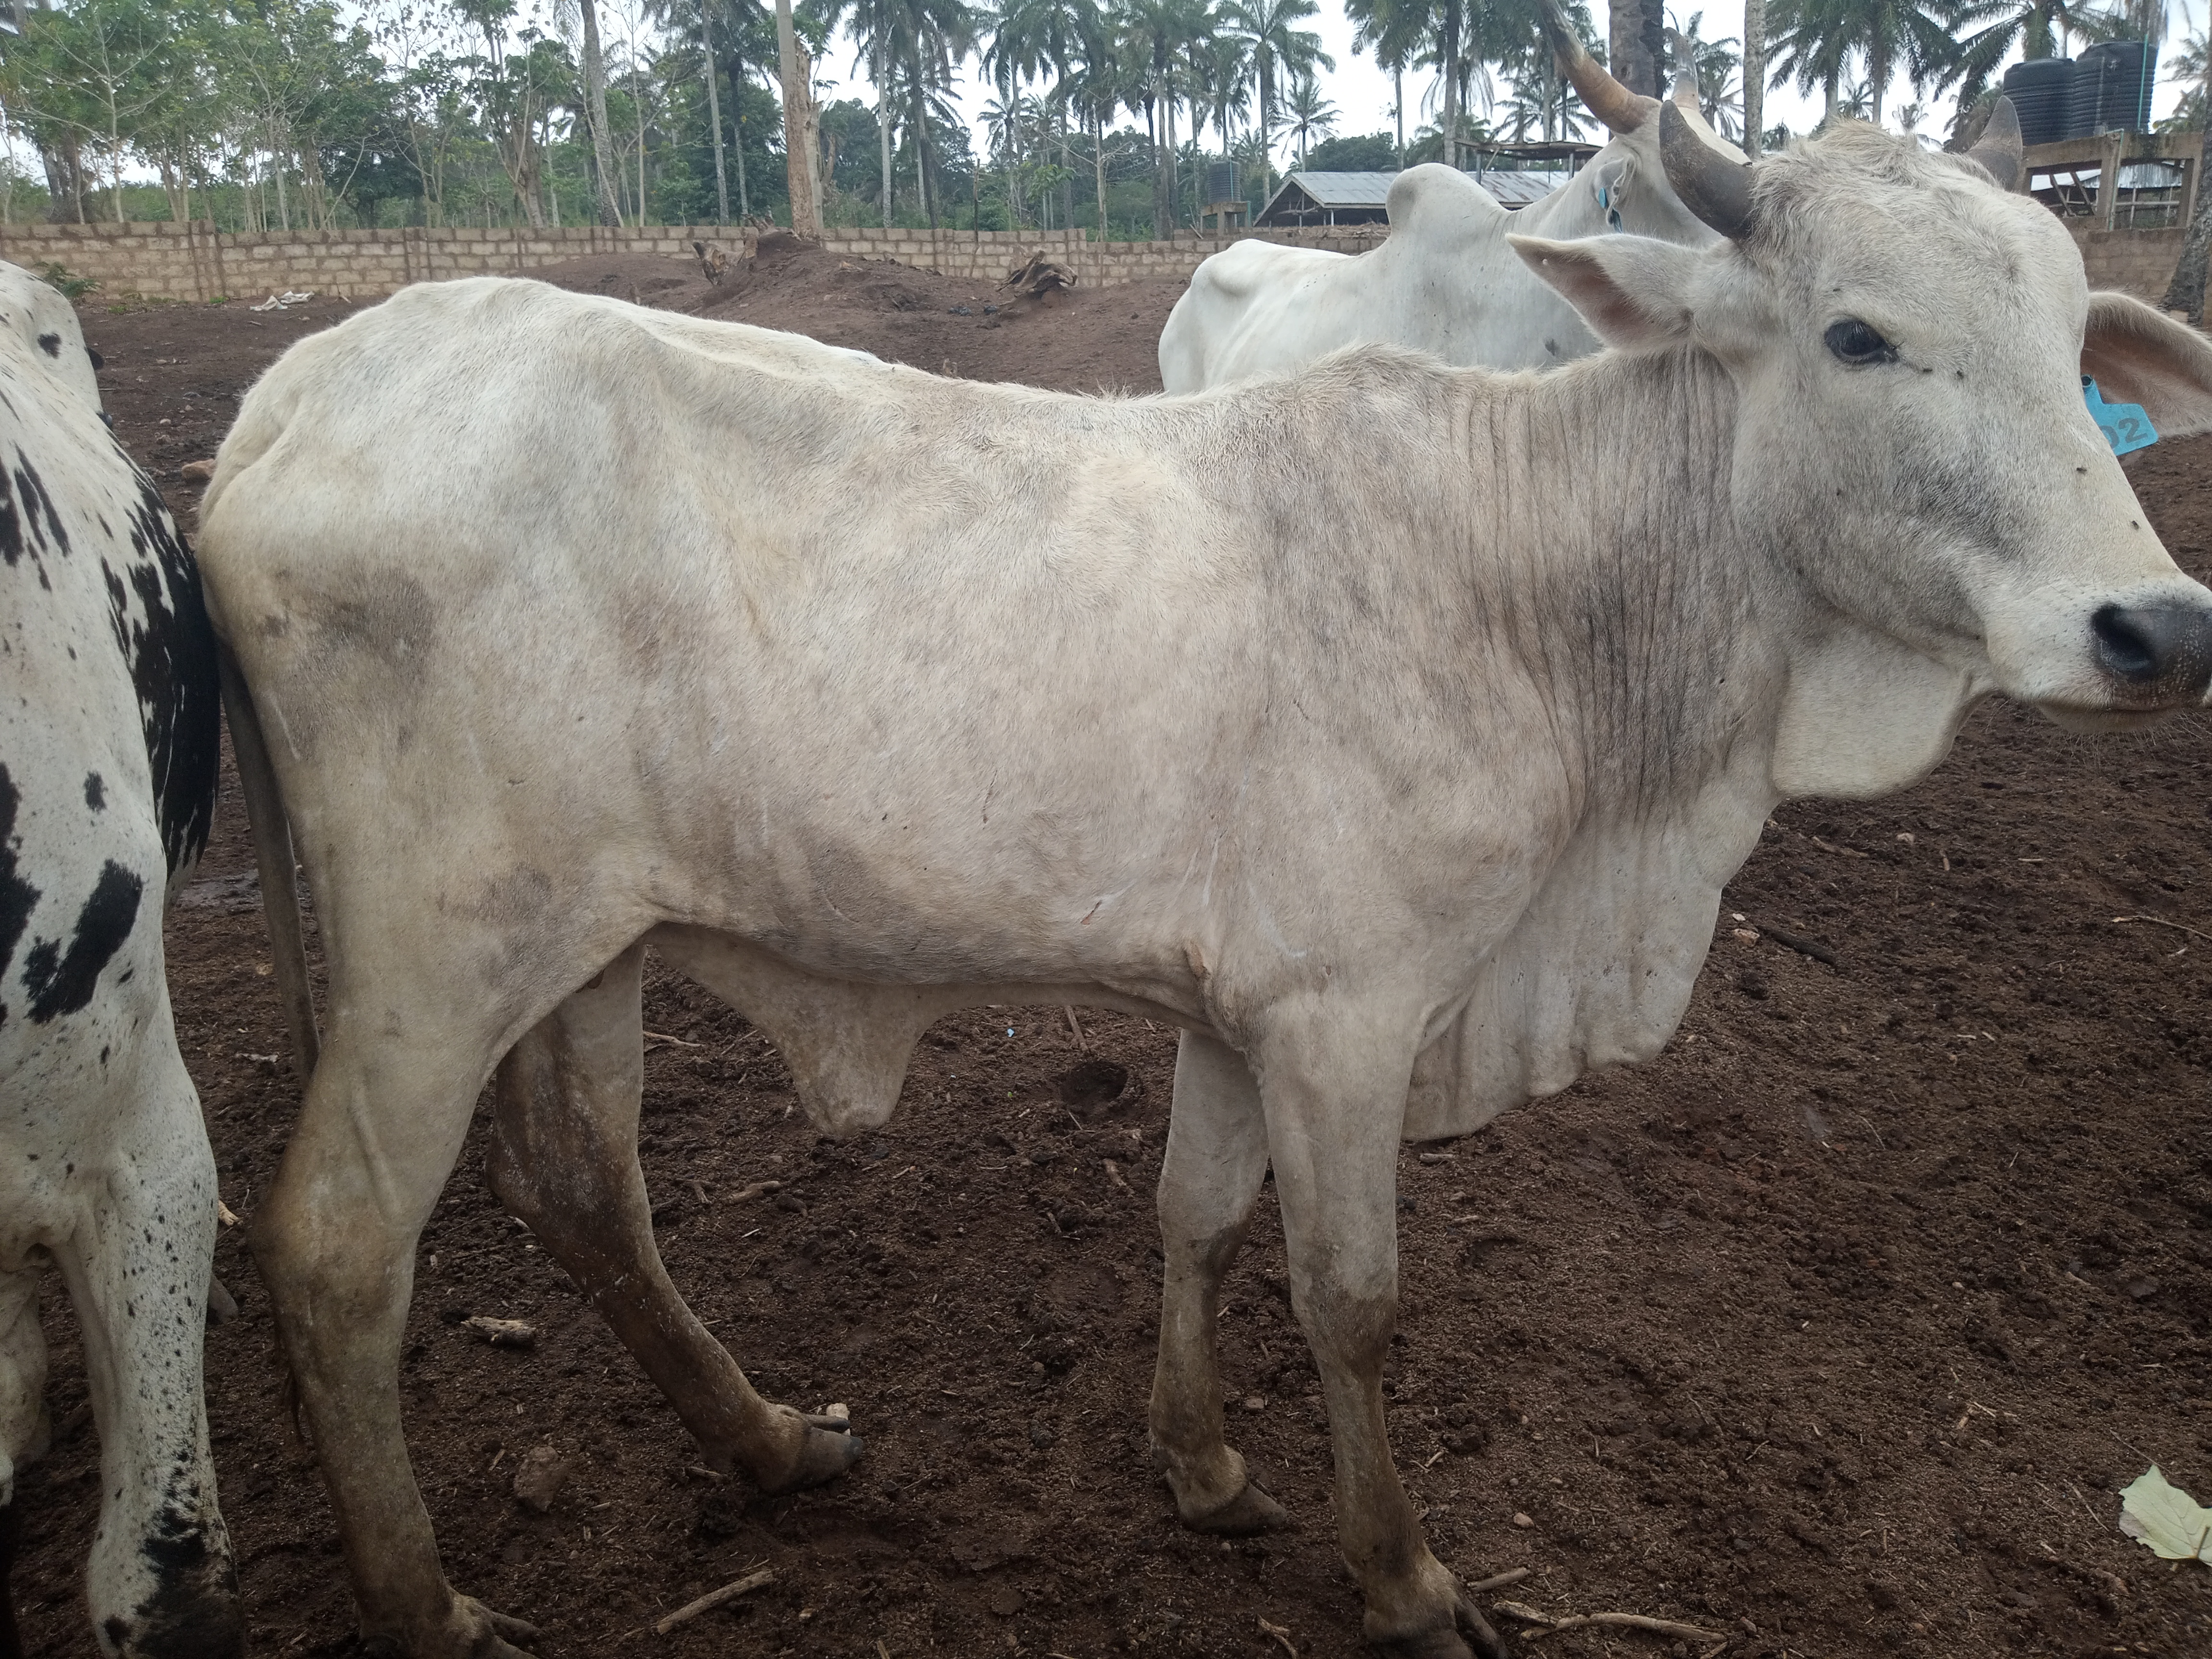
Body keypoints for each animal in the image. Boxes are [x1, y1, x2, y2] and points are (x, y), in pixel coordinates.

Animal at [199, 110, 2212, 1659]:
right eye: (1856, 337)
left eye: (2071, 340)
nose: (2155, 625)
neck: (1535, 573)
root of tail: (293, 393)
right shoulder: (1346, 1015)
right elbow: (1349, 1295)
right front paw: (1398, 1574)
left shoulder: (1235, 1007)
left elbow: (1191, 1215)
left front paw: (1201, 1465)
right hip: (435, 952)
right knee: (336, 1246)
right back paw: (427, 1602)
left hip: (585, 943)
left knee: (582, 1193)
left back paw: (769, 1443)